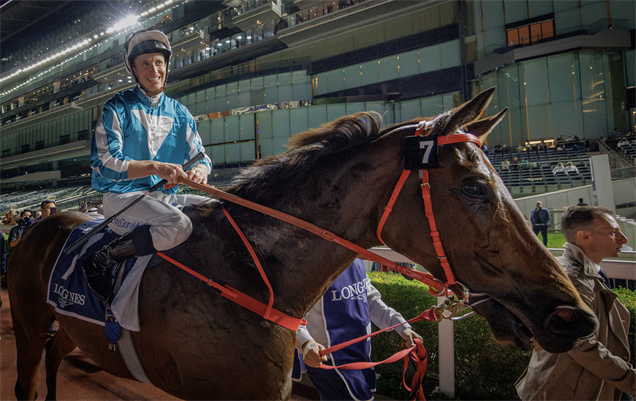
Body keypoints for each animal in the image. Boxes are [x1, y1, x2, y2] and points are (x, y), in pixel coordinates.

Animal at [8, 88, 596, 400]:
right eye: (475, 186)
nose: (575, 316)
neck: (247, 276)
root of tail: (34, 226)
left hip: (66, 329)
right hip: (30, 323)